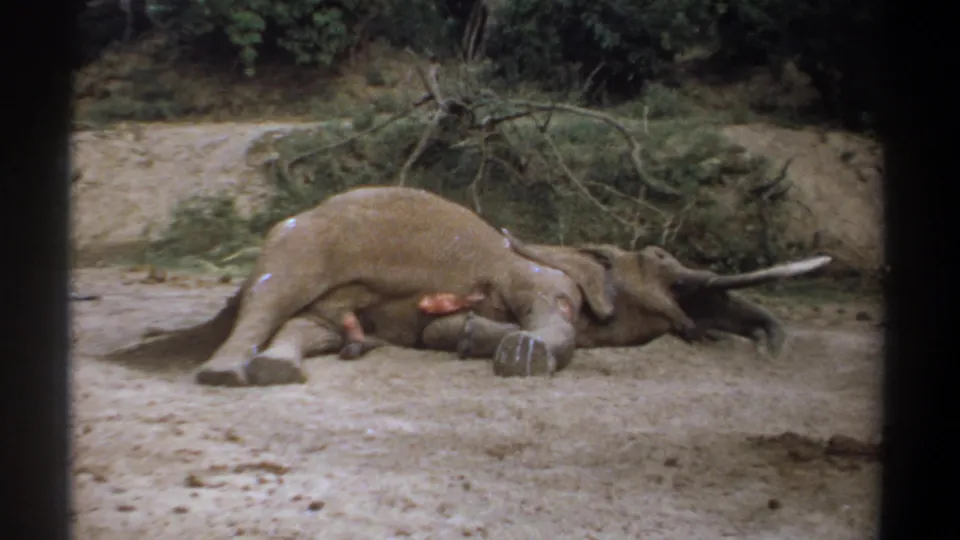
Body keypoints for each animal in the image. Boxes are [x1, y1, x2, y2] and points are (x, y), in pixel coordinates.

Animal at [190, 185, 831, 385]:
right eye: (661, 257)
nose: (769, 352)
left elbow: (440, 331)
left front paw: (471, 337)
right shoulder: (540, 275)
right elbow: (549, 316)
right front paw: (522, 355)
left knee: (311, 323)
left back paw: (285, 367)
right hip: (302, 245)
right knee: (271, 298)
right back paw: (225, 373)